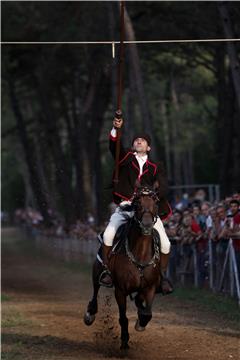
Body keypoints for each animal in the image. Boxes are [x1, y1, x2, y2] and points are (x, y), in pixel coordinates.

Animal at [84, 186, 163, 348]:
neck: (140, 255)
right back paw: (90, 314)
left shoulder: (150, 287)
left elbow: (147, 313)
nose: (147, 224)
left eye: (156, 203)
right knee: (95, 289)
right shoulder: (120, 291)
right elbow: (123, 318)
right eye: (137, 204)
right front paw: (125, 340)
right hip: (97, 271)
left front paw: (140, 323)